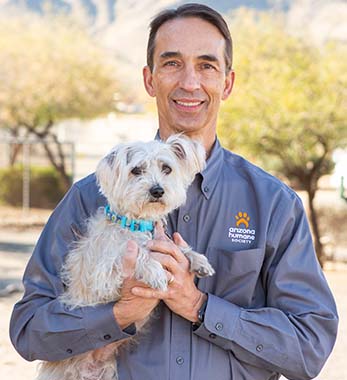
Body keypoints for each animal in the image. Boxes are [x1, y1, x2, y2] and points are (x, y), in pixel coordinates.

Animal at [35, 135, 215, 378]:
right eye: (136, 170)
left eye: (166, 168)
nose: (157, 190)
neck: (138, 223)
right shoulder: (103, 276)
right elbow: (138, 254)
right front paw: (155, 271)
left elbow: (179, 249)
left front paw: (197, 260)